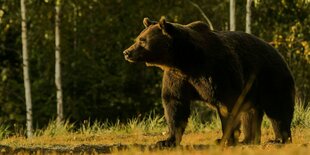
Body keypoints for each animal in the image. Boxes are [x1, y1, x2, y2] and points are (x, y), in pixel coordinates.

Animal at [122, 17, 294, 147]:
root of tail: (276, 51)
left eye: (142, 41)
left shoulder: (216, 71)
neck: (185, 60)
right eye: (138, 38)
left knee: (278, 107)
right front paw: (166, 141)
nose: (127, 52)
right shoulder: (177, 78)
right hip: (252, 88)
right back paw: (249, 139)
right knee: (250, 112)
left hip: (270, 76)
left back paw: (279, 139)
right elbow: (174, 104)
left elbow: (227, 105)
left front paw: (225, 139)